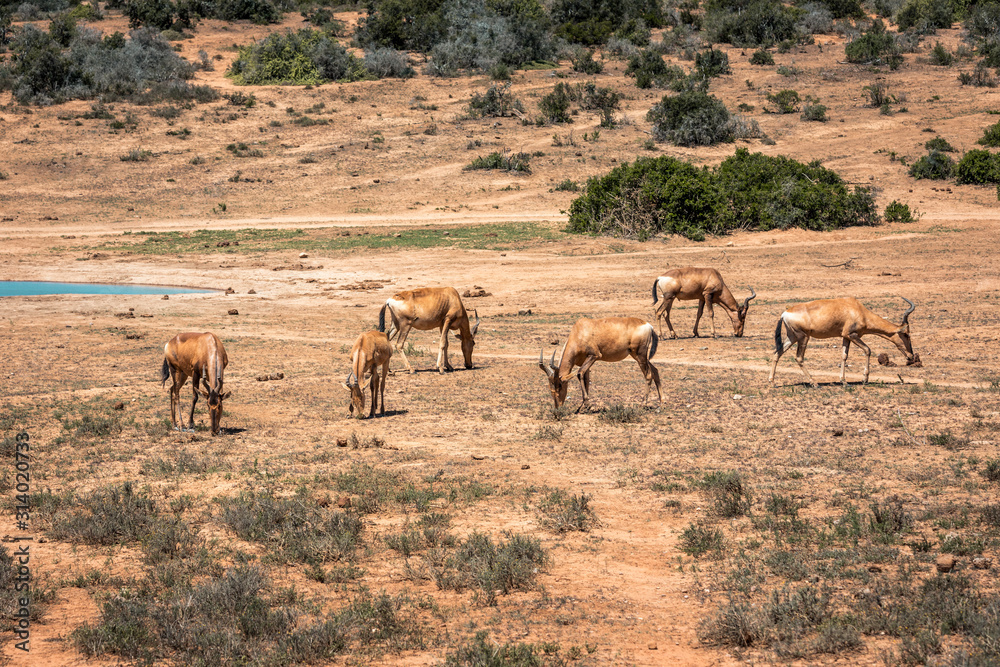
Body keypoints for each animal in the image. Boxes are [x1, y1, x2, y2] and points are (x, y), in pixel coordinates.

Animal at [768, 296, 916, 386]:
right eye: (906, 334)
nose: (911, 357)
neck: (857, 308)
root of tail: (784, 314)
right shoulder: (852, 335)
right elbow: (868, 350)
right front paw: (865, 379)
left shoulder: (845, 337)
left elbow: (844, 356)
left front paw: (844, 381)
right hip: (803, 337)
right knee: (798, 358)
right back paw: (814, 383)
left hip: (792, 337)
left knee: (777, 353)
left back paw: (772, 382)